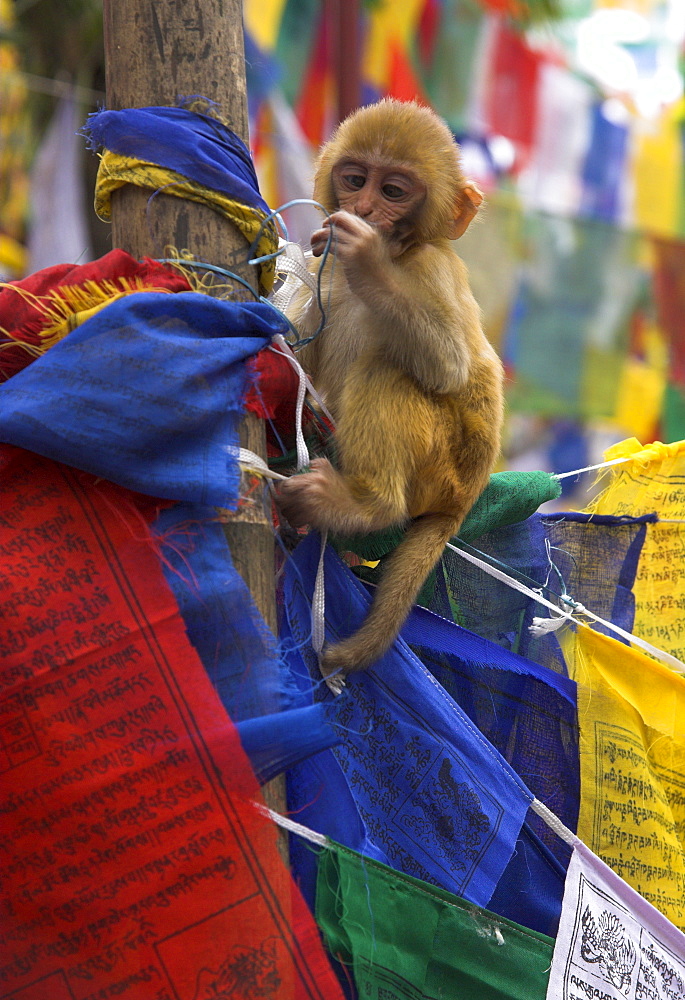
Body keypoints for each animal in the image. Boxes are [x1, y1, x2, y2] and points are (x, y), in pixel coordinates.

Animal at [276, 99, 504, 688]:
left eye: (394, 190)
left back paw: (369, 506)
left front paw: (368, 258)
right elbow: (296, 353)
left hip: (443, 466)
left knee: (387, 369)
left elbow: (448, 366)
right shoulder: (322, 268)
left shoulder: (432, 267)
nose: (363, 208)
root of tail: (462, 500)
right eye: (356, 179)